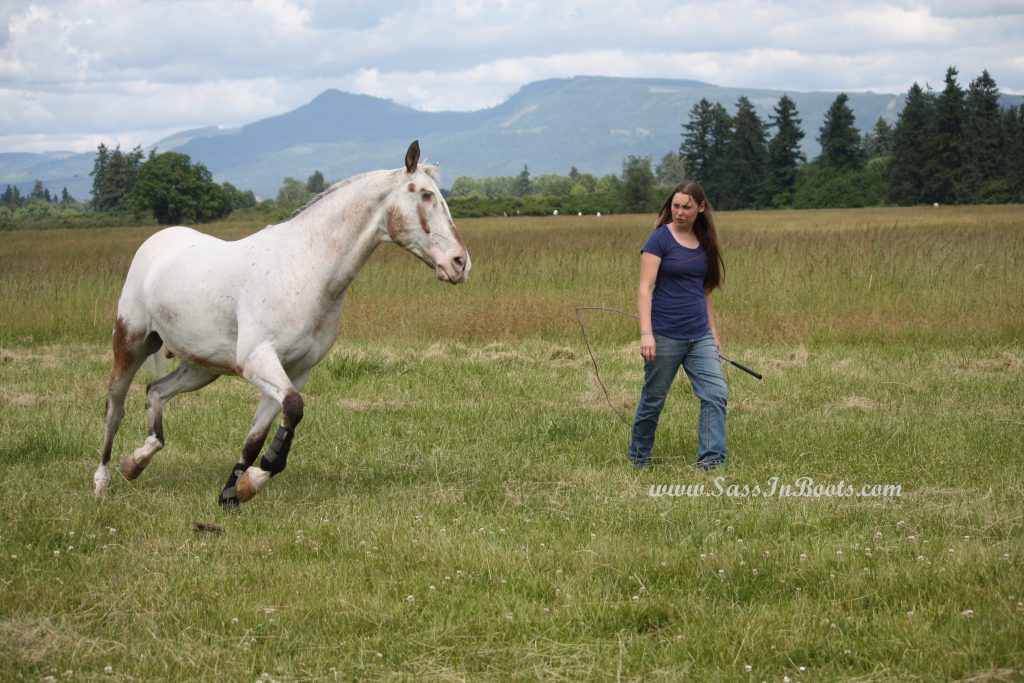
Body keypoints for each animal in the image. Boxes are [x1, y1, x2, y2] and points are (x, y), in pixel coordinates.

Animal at [94, 141, 468, 507]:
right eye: (424, 195)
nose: (459, 263)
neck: (306, 268)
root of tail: (155, 242)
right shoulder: (258, 361)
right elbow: (293, 409)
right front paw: (255, 479)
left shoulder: (294, 371)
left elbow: (257, 436)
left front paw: (236, 492)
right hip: (131, 344)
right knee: (115, 409)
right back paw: (103, 481)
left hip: (201, 367)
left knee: (155, 392)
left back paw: (136, 462)